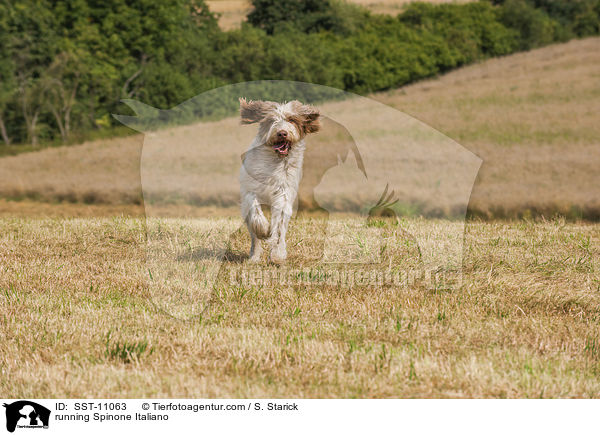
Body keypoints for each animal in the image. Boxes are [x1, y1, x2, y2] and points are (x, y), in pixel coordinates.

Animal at [239, 97, 322, 264]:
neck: (275, 161)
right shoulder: (250, 189)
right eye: (272, 120)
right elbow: (255, 210)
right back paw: (254, 256)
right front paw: (263, 229)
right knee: (254, 237)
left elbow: (279, 226)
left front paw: (277, 254)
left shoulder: (284, 193)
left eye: (291, 119)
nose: (282, 133)